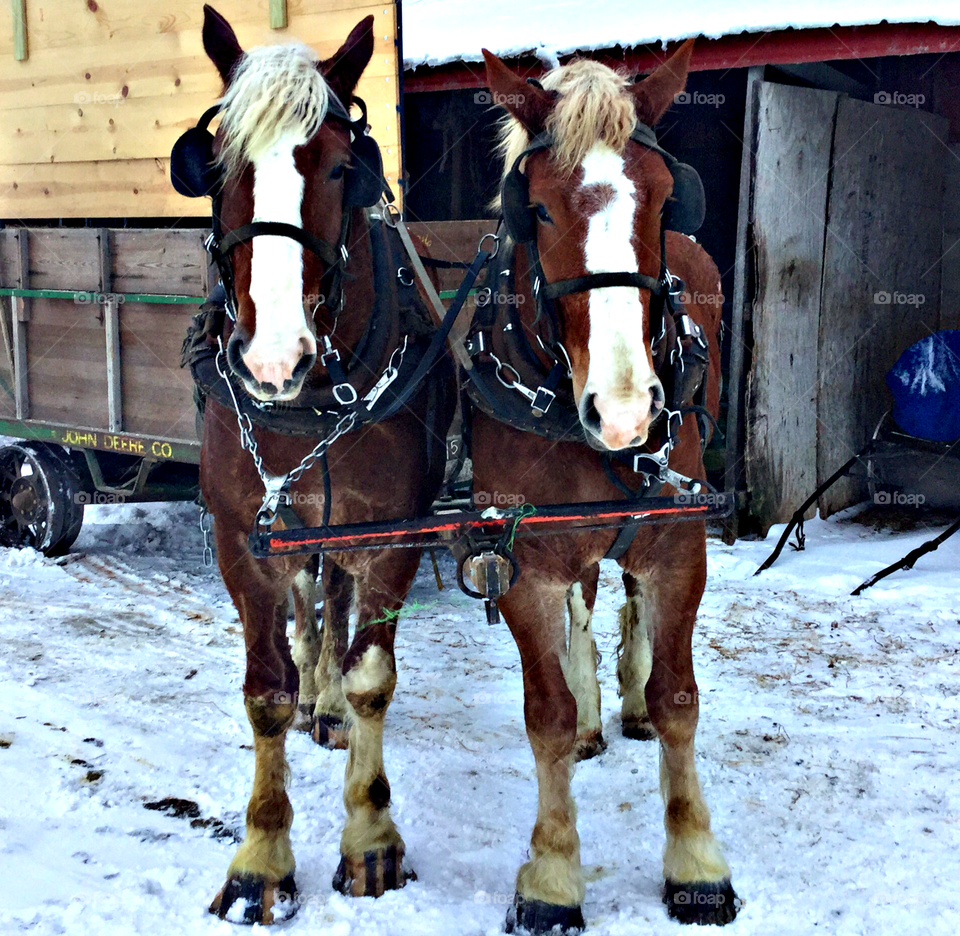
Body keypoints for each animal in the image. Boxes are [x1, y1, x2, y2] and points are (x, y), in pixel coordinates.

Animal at [197, 7, 456, 924]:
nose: (273, 360)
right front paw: (262, 858)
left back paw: (333, 704)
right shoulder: (242, 538)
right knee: (310, 606)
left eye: (343, 166)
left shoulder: (394, 533)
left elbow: (372, 672)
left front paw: (370, 841)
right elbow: (266, 689)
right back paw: (317, 692)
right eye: (217, 164)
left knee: (333, 603)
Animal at [470, 44, 736, 928]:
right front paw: (552, 875)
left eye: (662, 197)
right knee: (586, 608)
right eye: (539, 211)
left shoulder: (680, 543)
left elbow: (680, 697)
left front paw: (696, 862)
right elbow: (545, 714)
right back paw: (594, 711)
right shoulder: (525, 564)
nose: (626, 413)